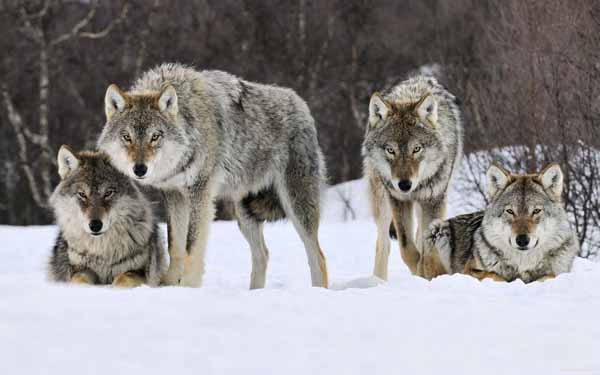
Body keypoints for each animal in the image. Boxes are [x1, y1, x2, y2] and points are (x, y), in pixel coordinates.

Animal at [48, 147, 165, 288]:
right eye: (82, 194)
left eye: (108, 193)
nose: (95, 225)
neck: (102, 251)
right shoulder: (80, 269)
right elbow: (79, 280)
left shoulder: (138, 272)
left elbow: (122, 280)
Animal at [98, 63, 328, 290]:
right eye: (127, 137)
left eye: (155, 137)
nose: (139, 169)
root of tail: (301, 104)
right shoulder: (174, 195)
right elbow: (175, 245)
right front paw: (169, 284)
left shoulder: (200, 192)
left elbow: (191, 247)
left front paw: (188, 287)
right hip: (244, 213)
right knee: (263, 255)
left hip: (296, 206)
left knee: (318, 256)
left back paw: (318, 290)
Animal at [360, 75, 464, 280]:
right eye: (390, 150)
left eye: (416, 149)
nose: (404, 185)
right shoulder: (398, 200)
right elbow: (406, 248)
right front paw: (419, 271)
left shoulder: (434, 200)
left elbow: (426, 248)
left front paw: (427, 273)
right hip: (382, 201)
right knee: (383, 244)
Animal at [424, 163, 580, 284]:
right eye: (510, 211)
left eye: (536, 211)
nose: (522, 240)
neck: (523, 263)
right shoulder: (468, 270)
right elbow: (494, 274)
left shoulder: (558, 273)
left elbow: (549, 276)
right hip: (438, 230)